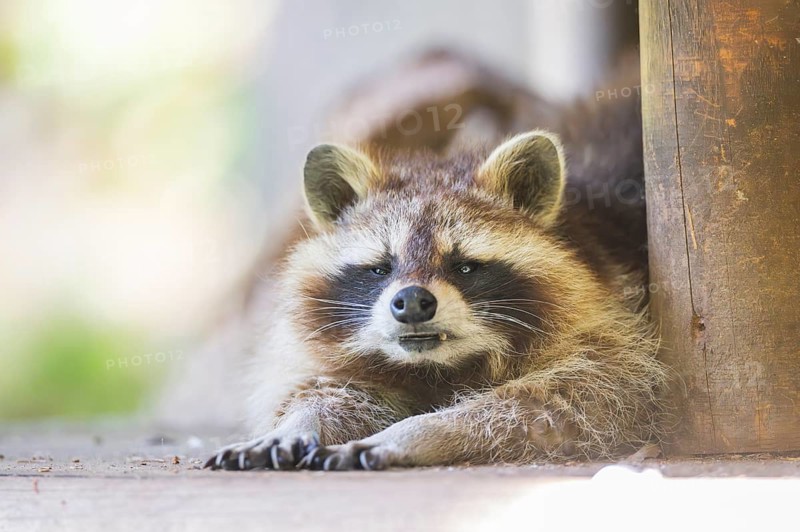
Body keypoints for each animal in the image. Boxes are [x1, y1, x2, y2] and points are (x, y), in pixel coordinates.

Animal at [205, 127, 668, 471]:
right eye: (381, 268)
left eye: (464, 267)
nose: (412, 301)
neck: (437, 367)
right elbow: (331, 389)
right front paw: (296, 423)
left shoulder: (614, 333)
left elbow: (567, 403)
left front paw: (423, 431)